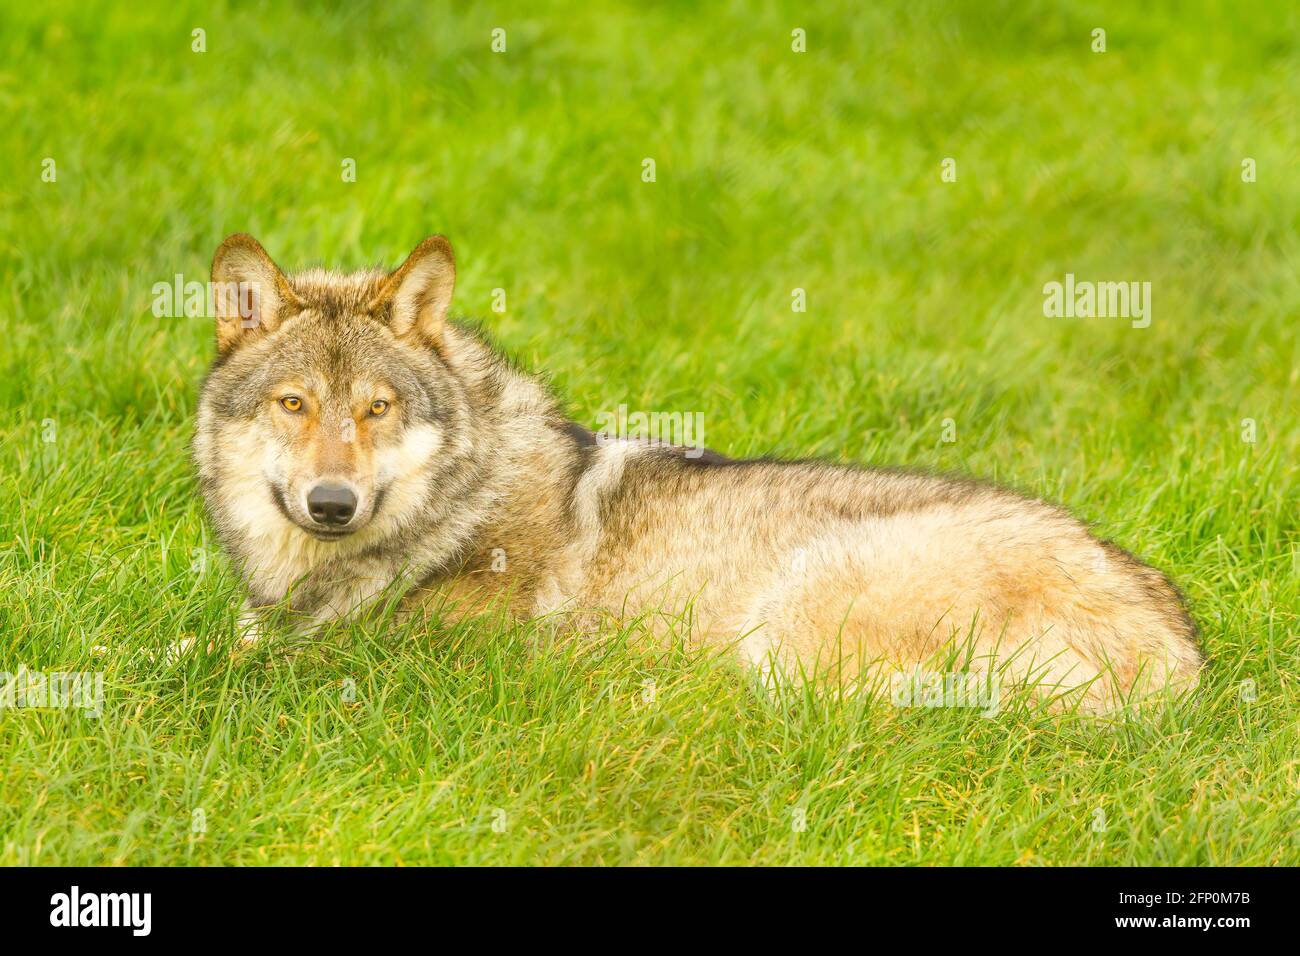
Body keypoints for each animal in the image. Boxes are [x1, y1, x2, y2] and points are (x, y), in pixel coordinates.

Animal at [193, 234, 1203, 713]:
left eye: (377, 409)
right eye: (294, 404)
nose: (332, 502)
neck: (455, 504)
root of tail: (1181, 655)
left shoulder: (402, 658)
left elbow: (238, 660)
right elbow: (219, 640)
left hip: (795, 622)